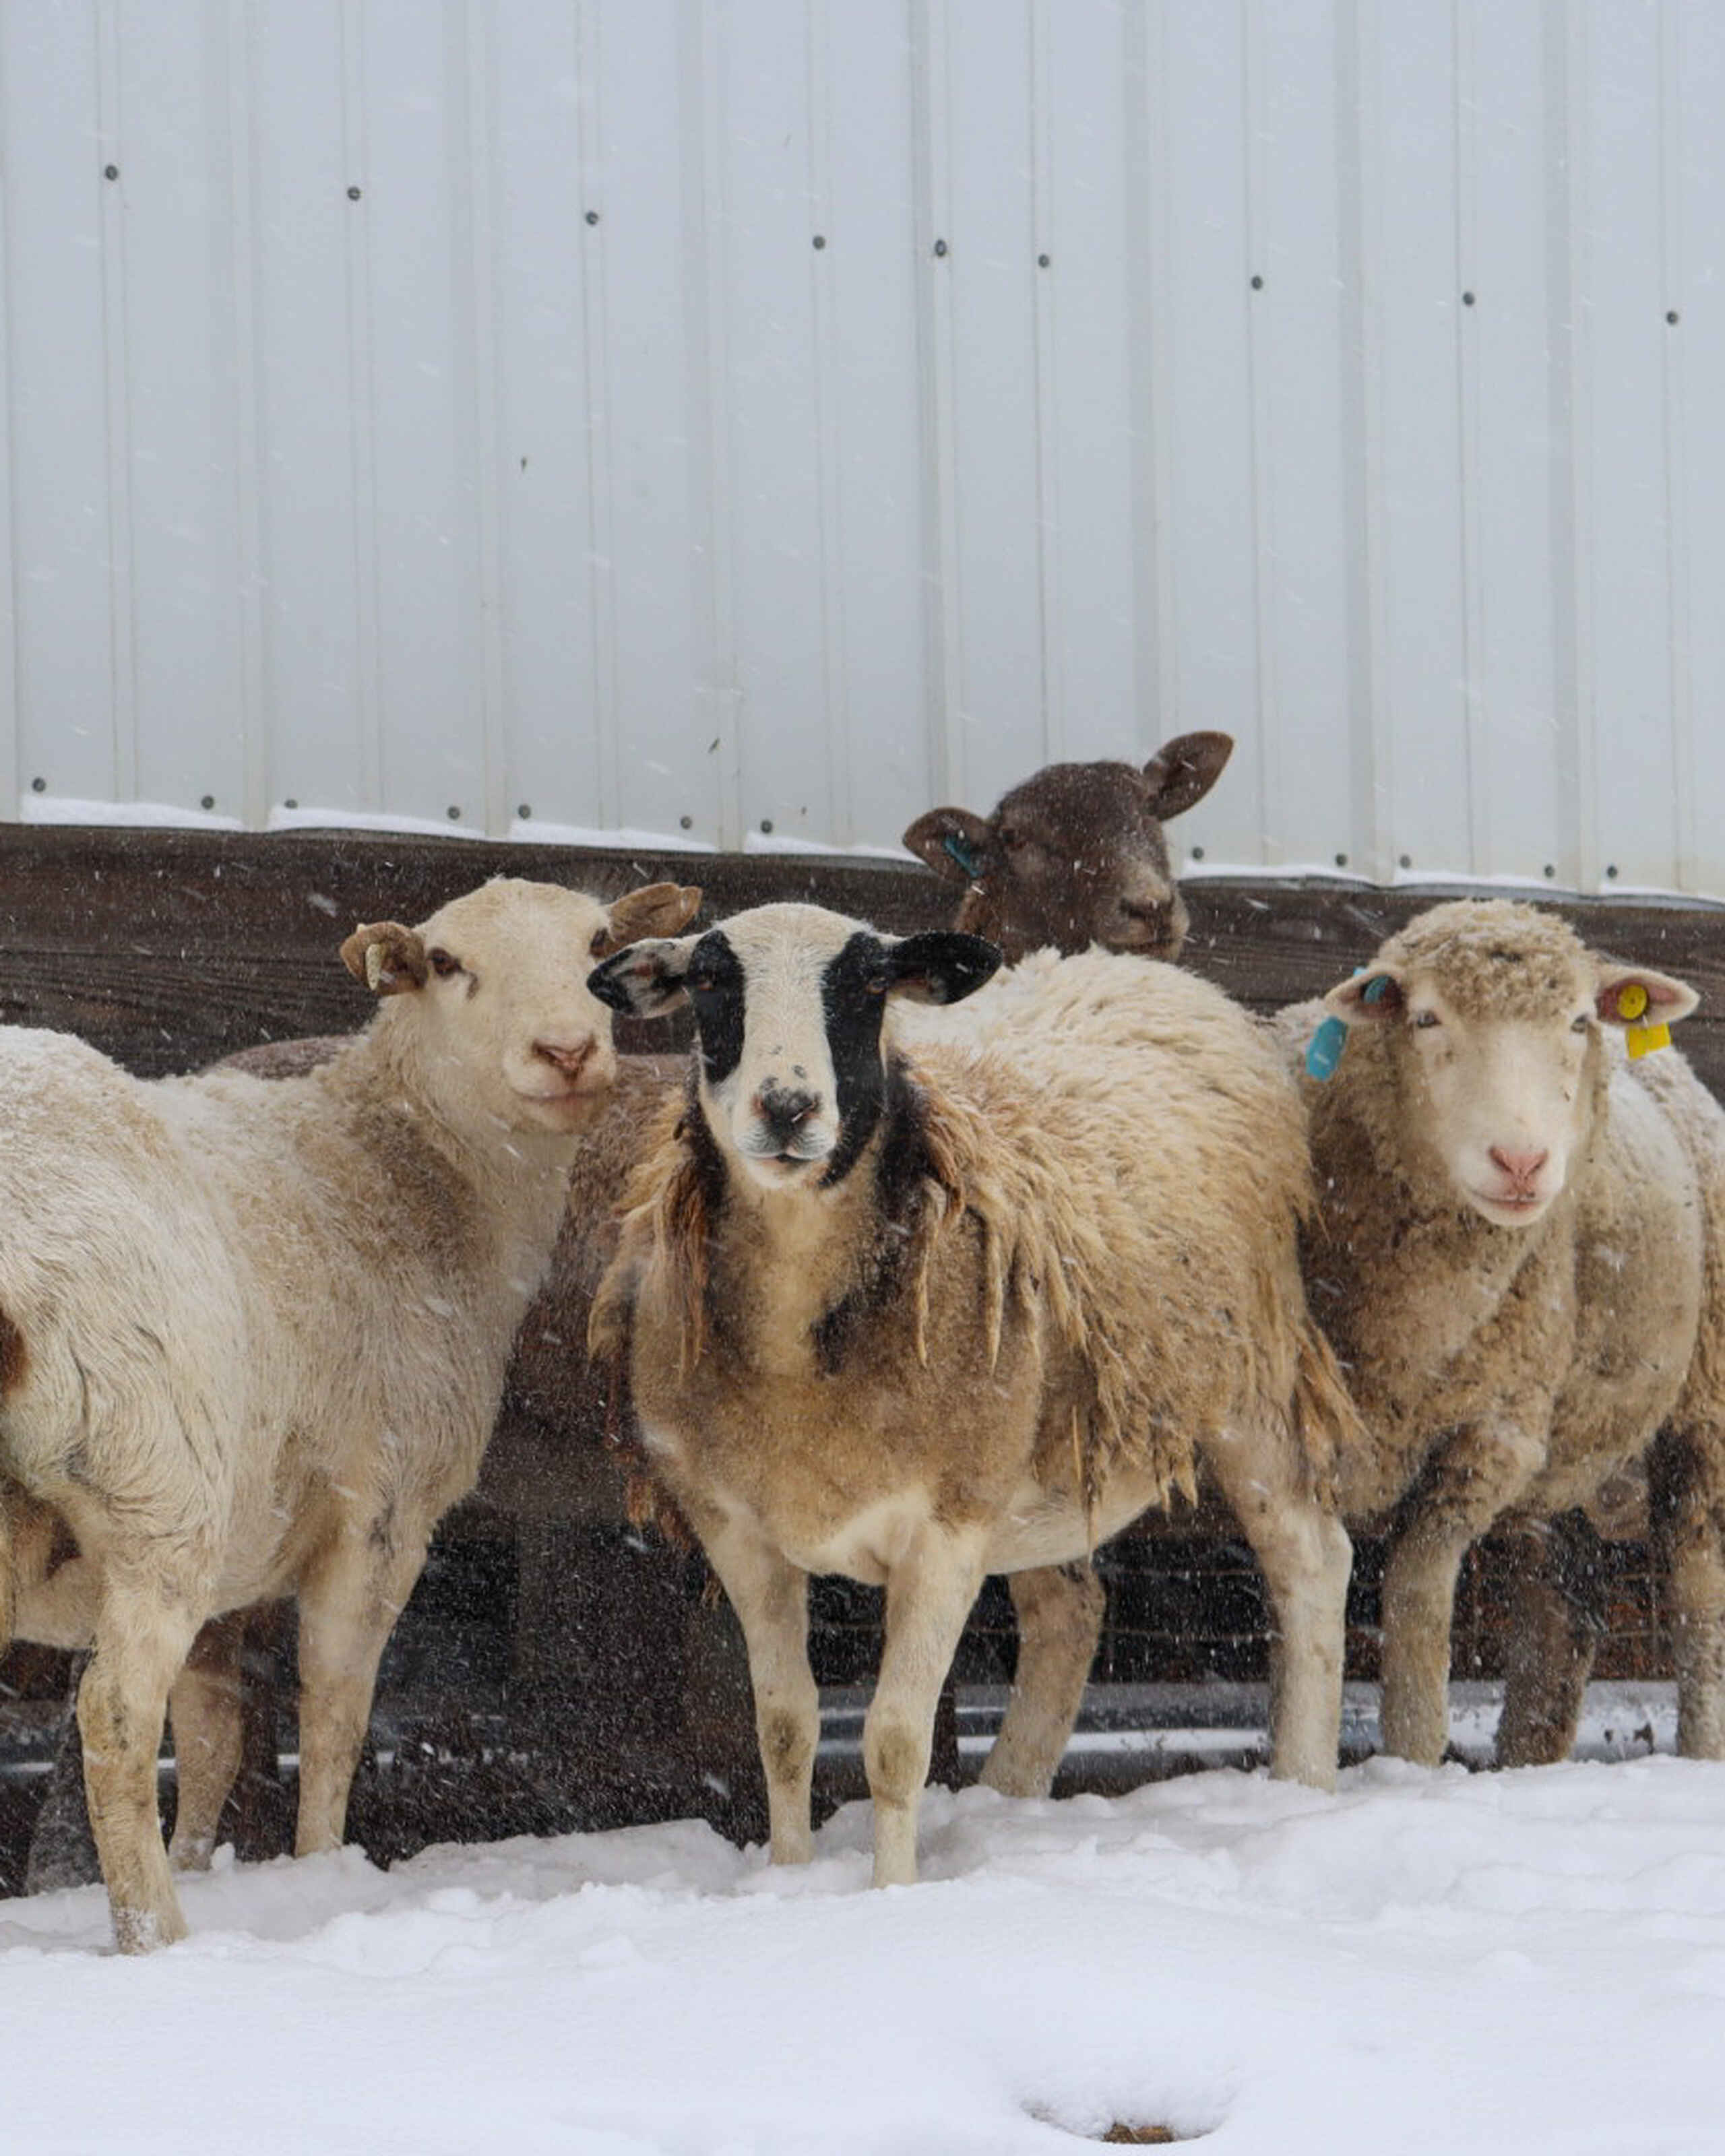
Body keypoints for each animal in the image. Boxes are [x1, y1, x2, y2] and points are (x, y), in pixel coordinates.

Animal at [0, 873, 700, 1948]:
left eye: (597, 944)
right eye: (446, 964)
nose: (567, 1052)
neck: (401, 1165)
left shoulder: (247, 1546)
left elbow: (215, 1732)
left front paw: (208, 1862)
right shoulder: (382, 1511)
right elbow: (333, 1714)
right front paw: (318, 1870)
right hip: (154, 1486)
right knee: (114, 1719)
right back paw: (158, 1932)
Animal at [585, 902, 1358, 1886]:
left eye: (869, 987)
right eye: (714, 983)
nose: (788, 1108)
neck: (801, 1337)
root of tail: (1149, 973)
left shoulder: (943, 1529)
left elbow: (894, 1742)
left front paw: (893, 1892)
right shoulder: (738, 1530)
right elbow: (784, 1730)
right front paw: (789, 1883)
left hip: (1246, 1372)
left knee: (1310, 1557)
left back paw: (1306, 1783)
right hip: (1040, 1444)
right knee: (1070, 1611)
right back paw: (1009, 1798)